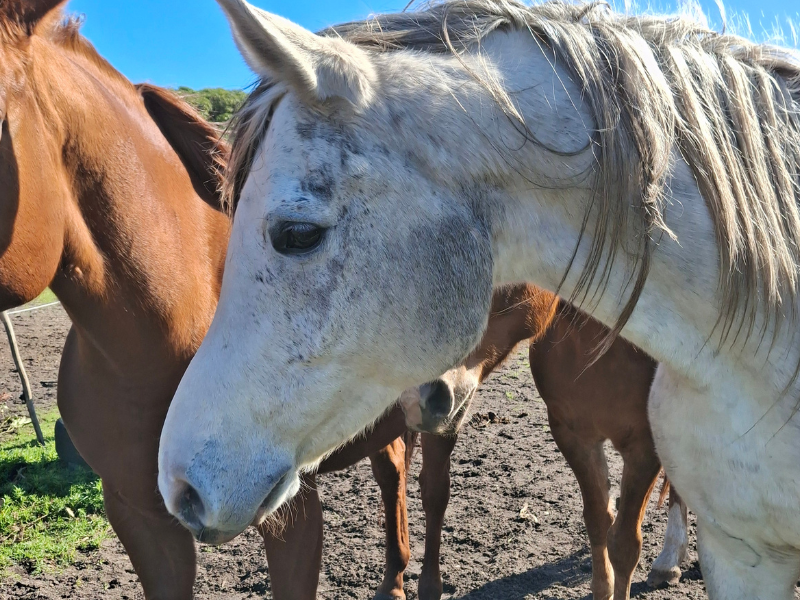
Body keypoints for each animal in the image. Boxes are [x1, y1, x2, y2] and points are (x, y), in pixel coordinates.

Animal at [402, 283, 689, 599]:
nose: (418, 397)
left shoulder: (644, 448)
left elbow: (624, 544)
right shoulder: (573, 437)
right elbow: (598, 521)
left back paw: (668, 560)